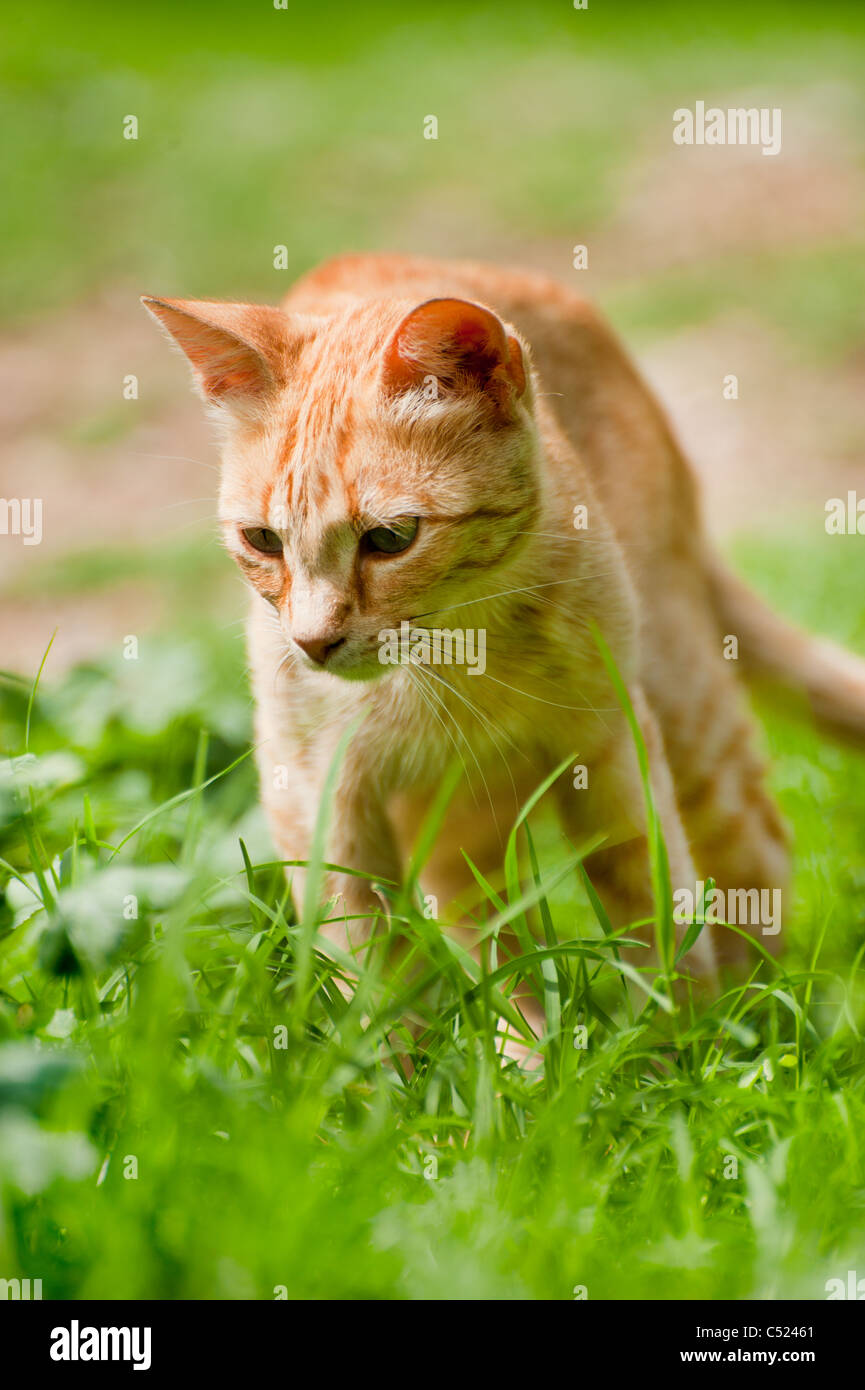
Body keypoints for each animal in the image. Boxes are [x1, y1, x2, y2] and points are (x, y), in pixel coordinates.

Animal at [140, 250, 865, 989]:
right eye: (263, 541)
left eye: (391, 538)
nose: (313, 642)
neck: (454, 662)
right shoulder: (314, 795)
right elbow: (378, 976)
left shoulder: (612, 747)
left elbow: (656, 923)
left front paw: (680, 1019)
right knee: (485, 938)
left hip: (681, 693)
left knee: (757, 851)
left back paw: (757, 1005)